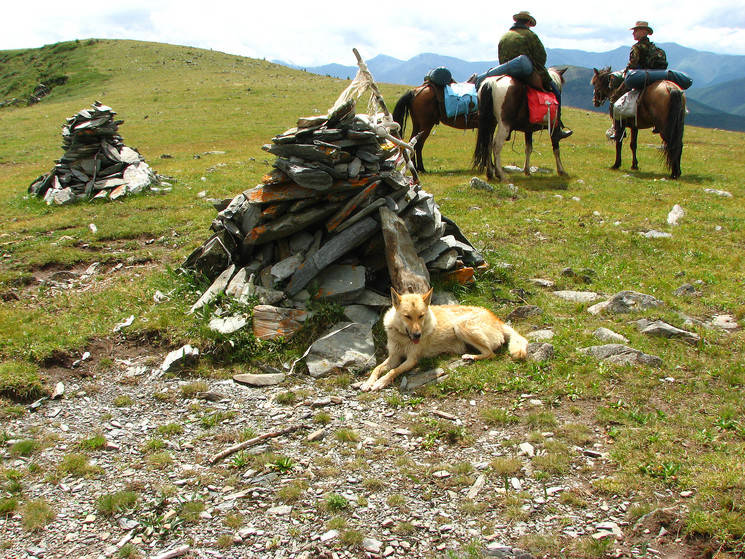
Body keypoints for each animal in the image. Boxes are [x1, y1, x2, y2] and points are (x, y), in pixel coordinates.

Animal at [362, 286, 528, 392]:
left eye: (421, 316)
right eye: (407, 316)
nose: (417, 335)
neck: (403, 337)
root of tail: (499, 321)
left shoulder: (411, 360)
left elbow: (393, 371)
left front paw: (380, 383)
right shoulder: (394, 357)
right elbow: (377, 368)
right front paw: (368, 382)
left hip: (460, 325)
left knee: (490, 353)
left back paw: (470, 356)